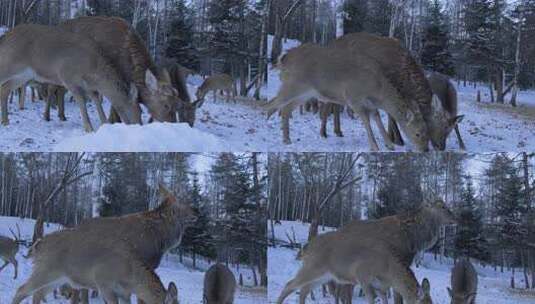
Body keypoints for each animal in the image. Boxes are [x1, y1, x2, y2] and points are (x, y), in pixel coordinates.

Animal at [0, 24, 142, 132]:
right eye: (139, 110)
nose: (139, 125)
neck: (93, 70)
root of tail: (5, 38)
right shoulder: (68, 77)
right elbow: (81, 101)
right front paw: (89, 128)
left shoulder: (89, 86)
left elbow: (96, 98)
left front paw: (104, 122)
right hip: (9, 63)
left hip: (24, 75)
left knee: (5, 89)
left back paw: (5, 120)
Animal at [13, 184, 195, 302]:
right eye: (182, 202)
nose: (197, 212)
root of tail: (37, 245)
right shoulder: (106, 284)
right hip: (46, 271)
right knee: (22, 290)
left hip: (58, 278)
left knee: (37, 294)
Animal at [264, 36, 432, 152]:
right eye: (418, 133)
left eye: (426, 131)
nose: (425, 150)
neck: (377, 90)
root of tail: (284, 58)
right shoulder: (353, 98)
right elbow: (366, 120)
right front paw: (375, 146)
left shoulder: (370, 104)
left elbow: (377, 117)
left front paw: (389, 144)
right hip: (295, 85)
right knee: (279, 103)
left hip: (305, 94)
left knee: (286, 108)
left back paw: (287, 138)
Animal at [278, 200, 458, 304]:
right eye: (442, 207)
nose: (456, 218)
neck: (413, 239)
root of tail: (306, 247)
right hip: (315, 270)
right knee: (294, 286)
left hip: (324, 275)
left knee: (306, 290)